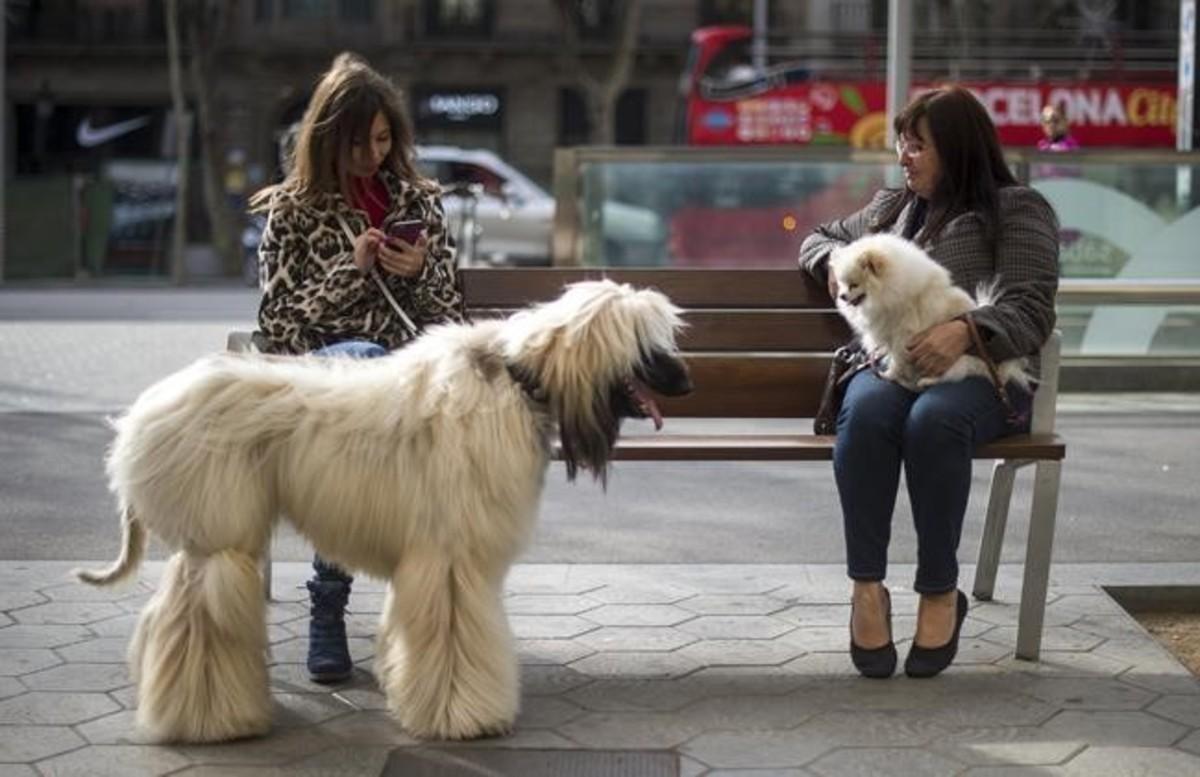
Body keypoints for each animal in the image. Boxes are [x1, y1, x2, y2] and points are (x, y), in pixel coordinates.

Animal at [75, 281, 691, 743]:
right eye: (647, 345)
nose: (687, 381)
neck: (516, 380)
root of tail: (145, 412)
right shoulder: (452, 556)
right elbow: (456, 637)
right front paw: (464, 716)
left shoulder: (432, 554)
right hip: (219, 536)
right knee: (195, 620)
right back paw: (211, 719)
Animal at [825, 229, 1032, 388]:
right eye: (841, 285)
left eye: (854, 285)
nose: (842, 296)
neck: (888, 292)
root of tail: (994, 369)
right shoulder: (889, 334)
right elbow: (894, 356)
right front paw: (896, 374)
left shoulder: (902, 334)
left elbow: (898, 358)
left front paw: (890, 375)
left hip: (954, 359)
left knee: (951, 375)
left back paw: (925, 381)